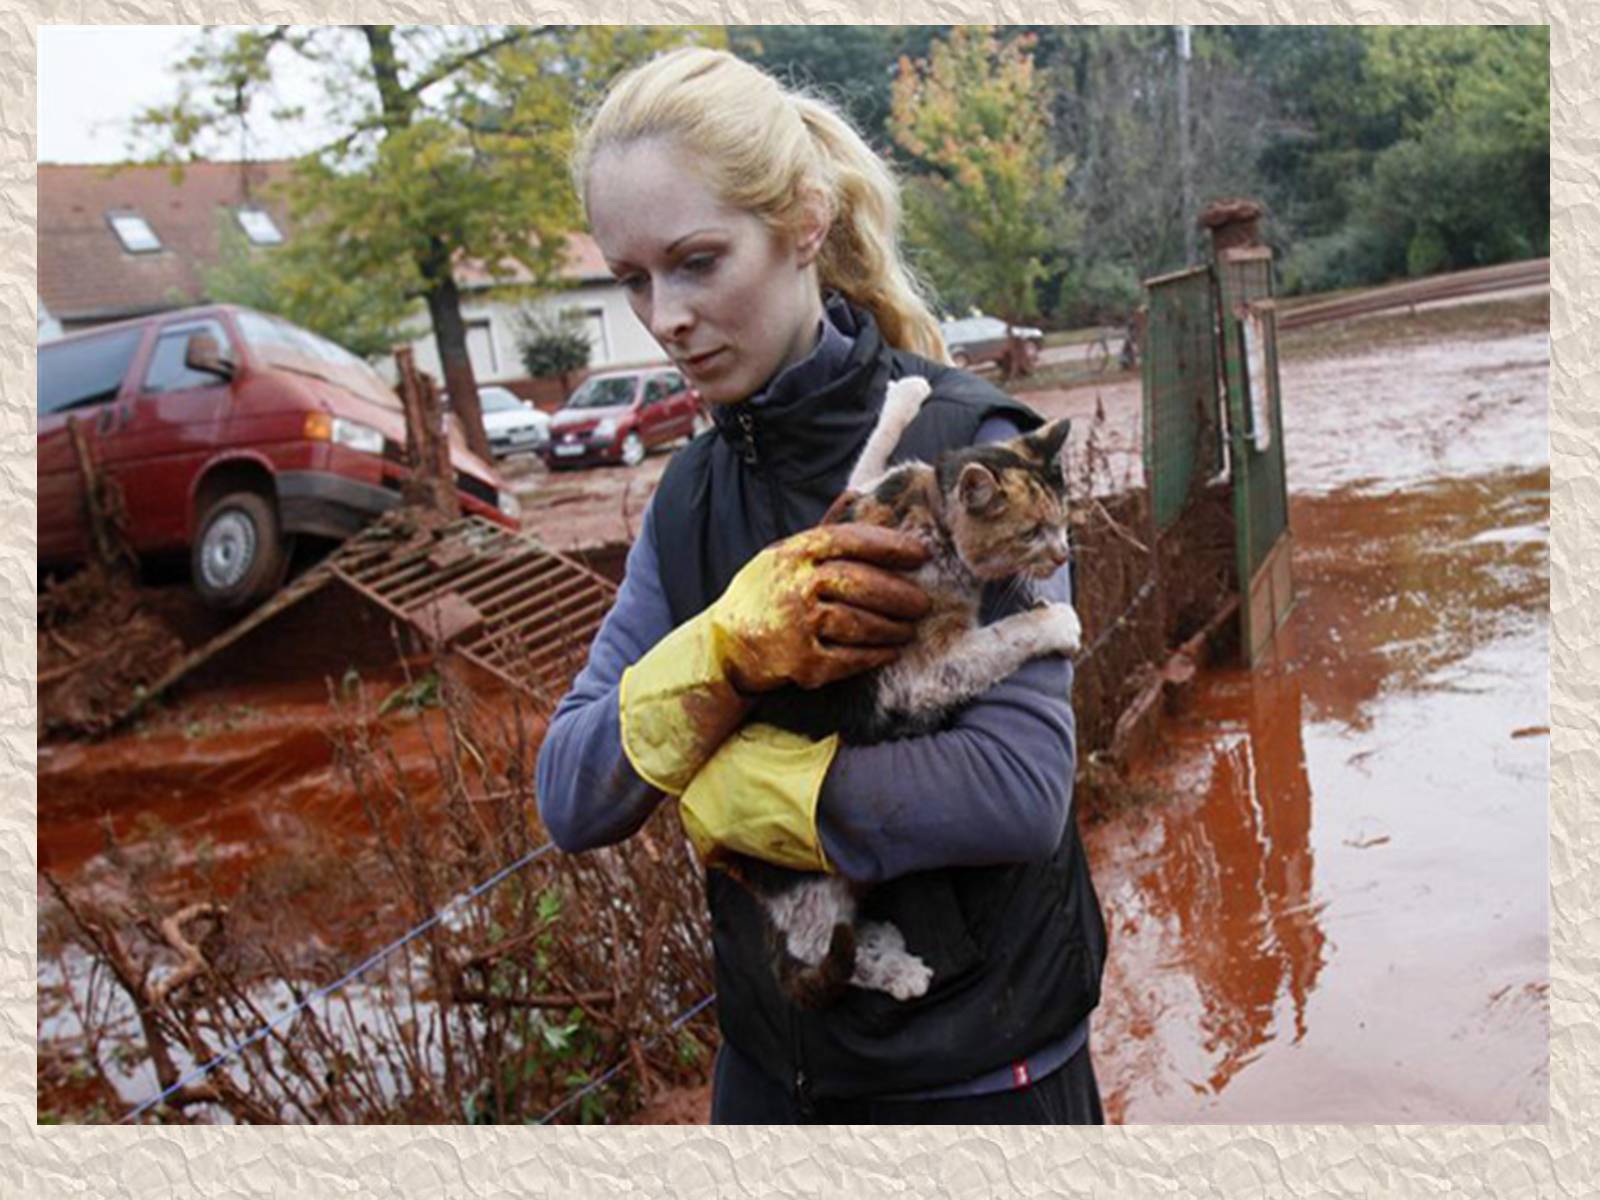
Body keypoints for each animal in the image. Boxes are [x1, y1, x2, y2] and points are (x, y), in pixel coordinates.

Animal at [729, 371, 1081, 1011]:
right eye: (1031, 533)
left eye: (1063, 517)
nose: (1065, 551)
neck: (931, 512)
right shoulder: (916, 675)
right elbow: (1001, 638)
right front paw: (1056, 624)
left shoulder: (855, 499)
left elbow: (866, 456)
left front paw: (907, 393)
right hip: (809, 880)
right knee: (815, 952)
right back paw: (896, 971)